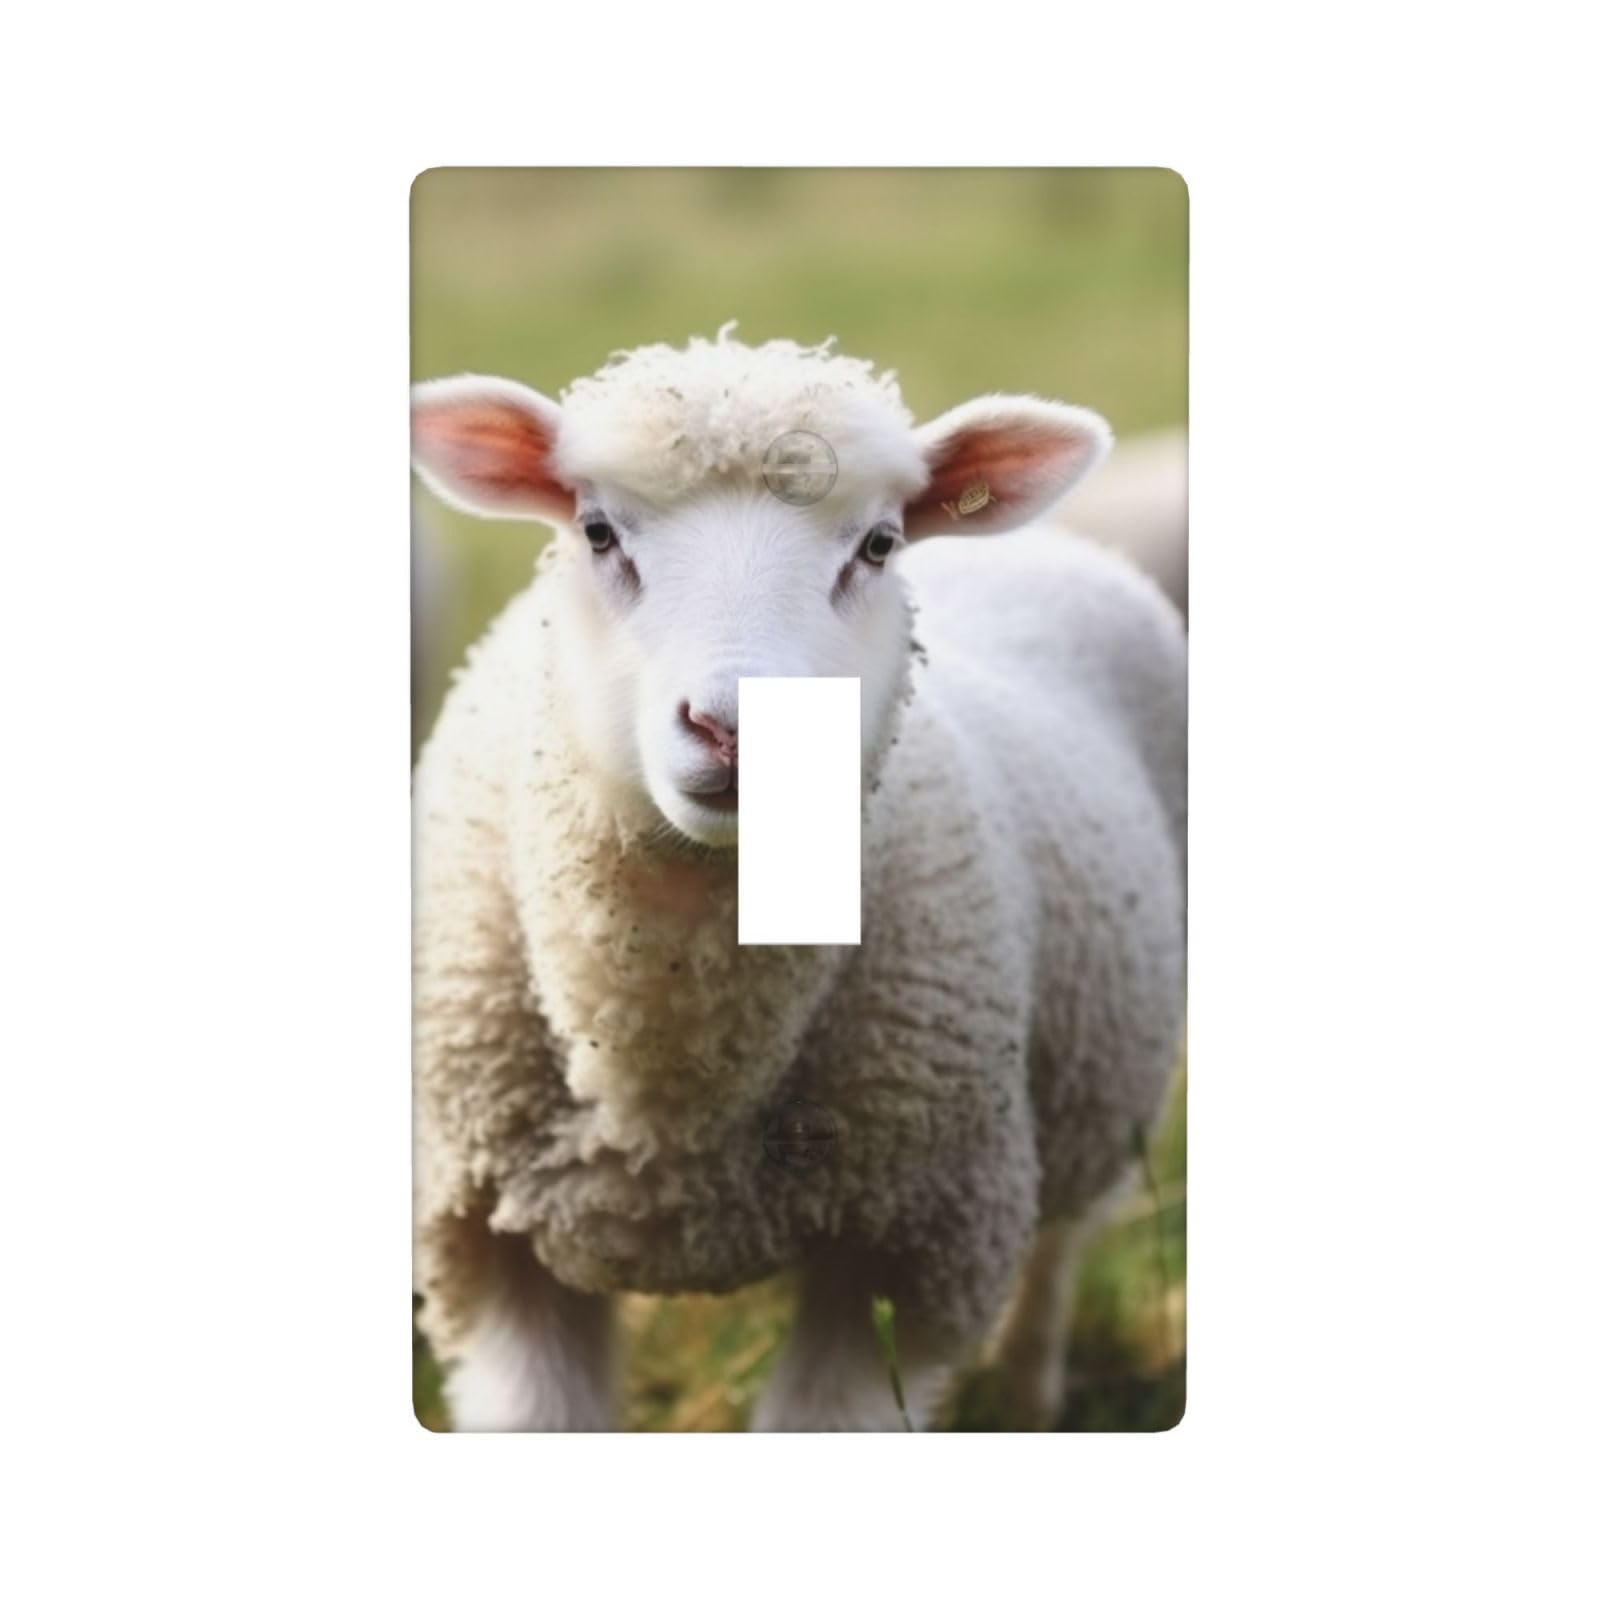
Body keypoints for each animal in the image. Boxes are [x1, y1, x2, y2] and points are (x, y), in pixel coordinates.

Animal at [410, 328, 1187, 1431]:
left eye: (879, 545)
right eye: (597, 532)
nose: (740, 727)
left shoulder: (918, 1241)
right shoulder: (483, 1244)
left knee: (1057, 1253)